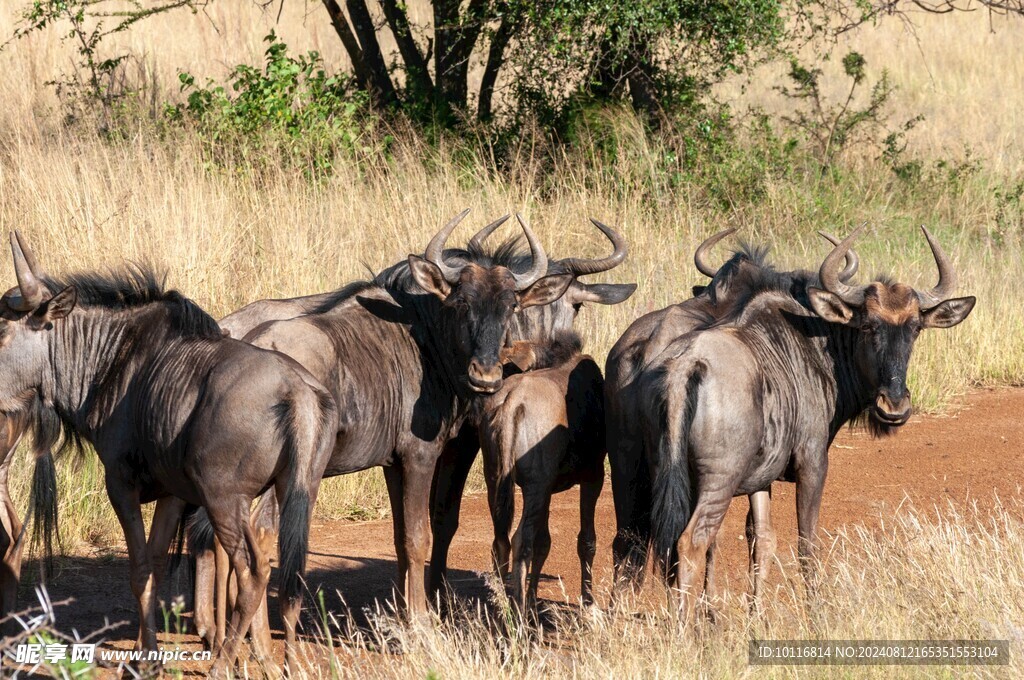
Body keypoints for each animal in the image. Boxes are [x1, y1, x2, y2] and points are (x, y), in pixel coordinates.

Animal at [0, 235, 335, 675]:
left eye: (1, 332)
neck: (111, 359)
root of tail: (297, 393)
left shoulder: (120, 485)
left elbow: (139, 569)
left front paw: (146, 660)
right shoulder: (173, 494)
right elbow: (157, 567)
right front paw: (149, 654)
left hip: (226, 501)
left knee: (253, 573)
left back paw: (222, 665)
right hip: (294, 495)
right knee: (291, 578)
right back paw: (286, 666)